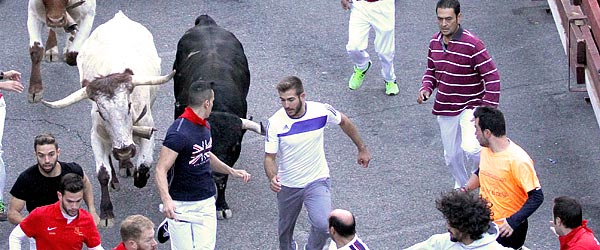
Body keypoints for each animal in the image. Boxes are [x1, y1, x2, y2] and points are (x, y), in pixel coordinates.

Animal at [41, 11, 172, 227]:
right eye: (102, 113)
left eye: (129, 106)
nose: (124, 150)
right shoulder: (97, 135)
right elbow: (103, 173)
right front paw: (106, 212)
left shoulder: (148, 130)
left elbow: (144, 165)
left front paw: (140, 176)